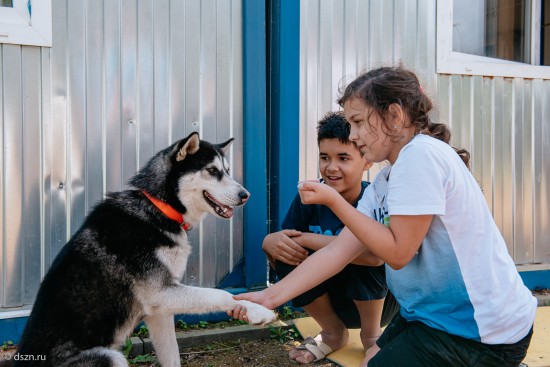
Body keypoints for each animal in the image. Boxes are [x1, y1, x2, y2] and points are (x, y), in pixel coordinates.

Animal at [8, 133, 276, 367]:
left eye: (227, 171)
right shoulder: (161, 293)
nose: (245, 195)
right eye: (212, 171)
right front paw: (257, 310)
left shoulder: (159, 311)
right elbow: (218, 294)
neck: (159, 208)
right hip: (110, 356)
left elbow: (172, 356)